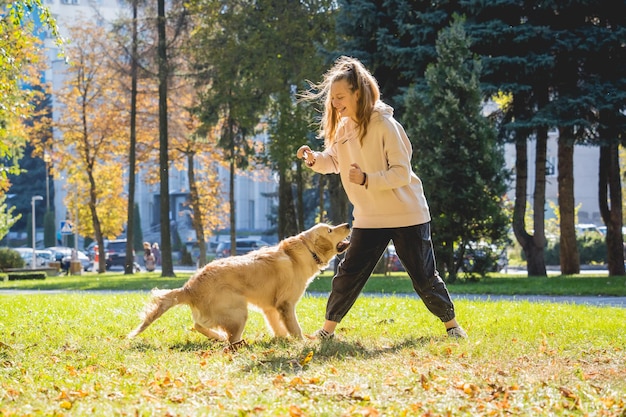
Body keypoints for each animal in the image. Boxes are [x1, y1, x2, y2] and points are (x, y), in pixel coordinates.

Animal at [127, 223, 352, 346]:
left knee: (198, 324)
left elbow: (277, 327)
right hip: (238, 311)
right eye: (330, 230)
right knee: (229, 339)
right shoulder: (286, 305)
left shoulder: (270, 308)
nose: (349, 225)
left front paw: (282, 340)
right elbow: (294, 328)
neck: (302, 252)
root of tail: (189, 287)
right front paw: (302, 344)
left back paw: (216, 336)